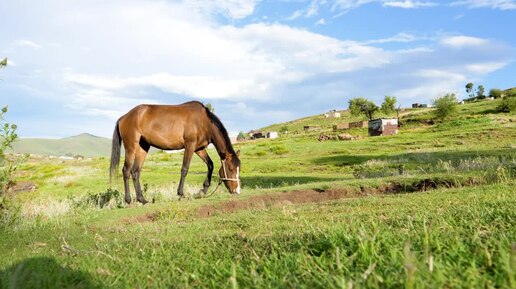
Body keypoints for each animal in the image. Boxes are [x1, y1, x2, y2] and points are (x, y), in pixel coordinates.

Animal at [109, 100, 242, 204]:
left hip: (143, 148)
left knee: (135, 172)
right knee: (126, 170)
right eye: (230, 169)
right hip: (131, 148)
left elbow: (210, 165)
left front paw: (202, 191)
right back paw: (128, 200)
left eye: (238, 169)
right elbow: (185, 169)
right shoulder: (189, 146)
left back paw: (142, 199)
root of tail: (124, 117)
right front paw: (181, 193)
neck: (203, 121)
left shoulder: (199, 149)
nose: (237, 190)